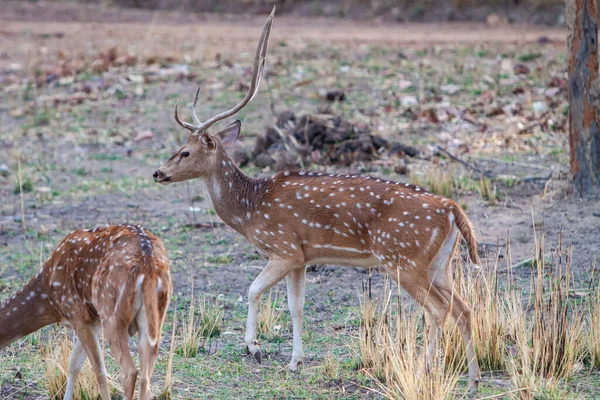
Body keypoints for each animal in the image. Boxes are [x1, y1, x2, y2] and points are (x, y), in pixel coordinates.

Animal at [0, 225, 172, 400]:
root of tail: (148, 264)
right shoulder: (92, 320)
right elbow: (74, 364)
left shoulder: (76, 314)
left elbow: (97, 370)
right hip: (154, 317)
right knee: (146, 376)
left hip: (112, 314)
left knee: (130, 372)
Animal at [154, 7, 482, 396]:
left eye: (185, 152)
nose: (157, 173)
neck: (250, 210)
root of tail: (452, 209)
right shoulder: (302, 257)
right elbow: (296, 307)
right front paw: (294, 362)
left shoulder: (283, 248)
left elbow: (252, 290)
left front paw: (255, 348)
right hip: (439, 264)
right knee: (463, 307)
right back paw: (474, 380)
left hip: (404, 258)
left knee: (438, 310)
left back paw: (424, 369)